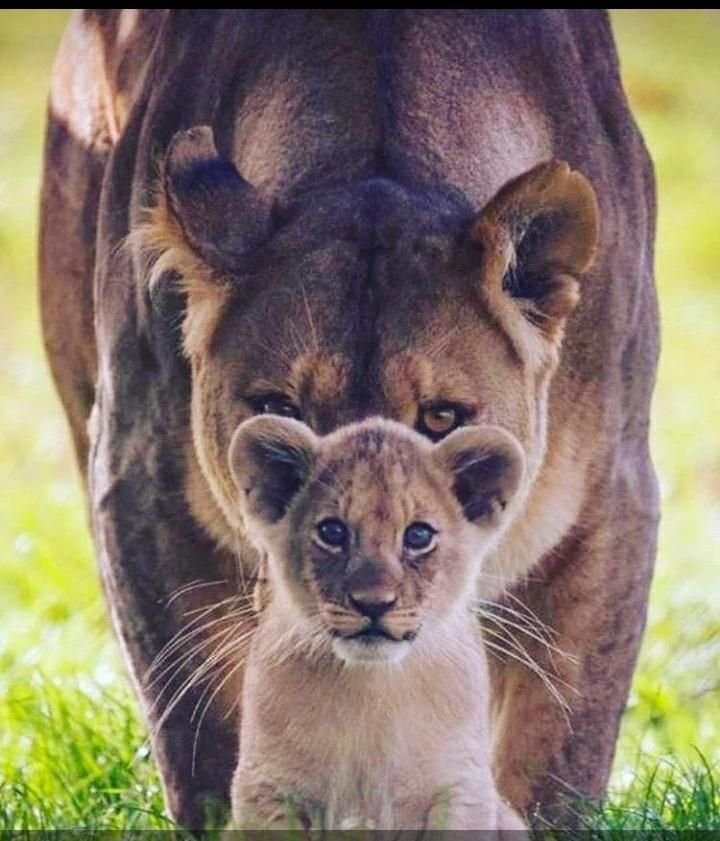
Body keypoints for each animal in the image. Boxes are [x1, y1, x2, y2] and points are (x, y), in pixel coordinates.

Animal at [227, 414, 526, 831]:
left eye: (419, 535)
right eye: (332, 532)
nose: (373, 603)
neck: (370, 687)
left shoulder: (460, 790)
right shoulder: (266, 789)